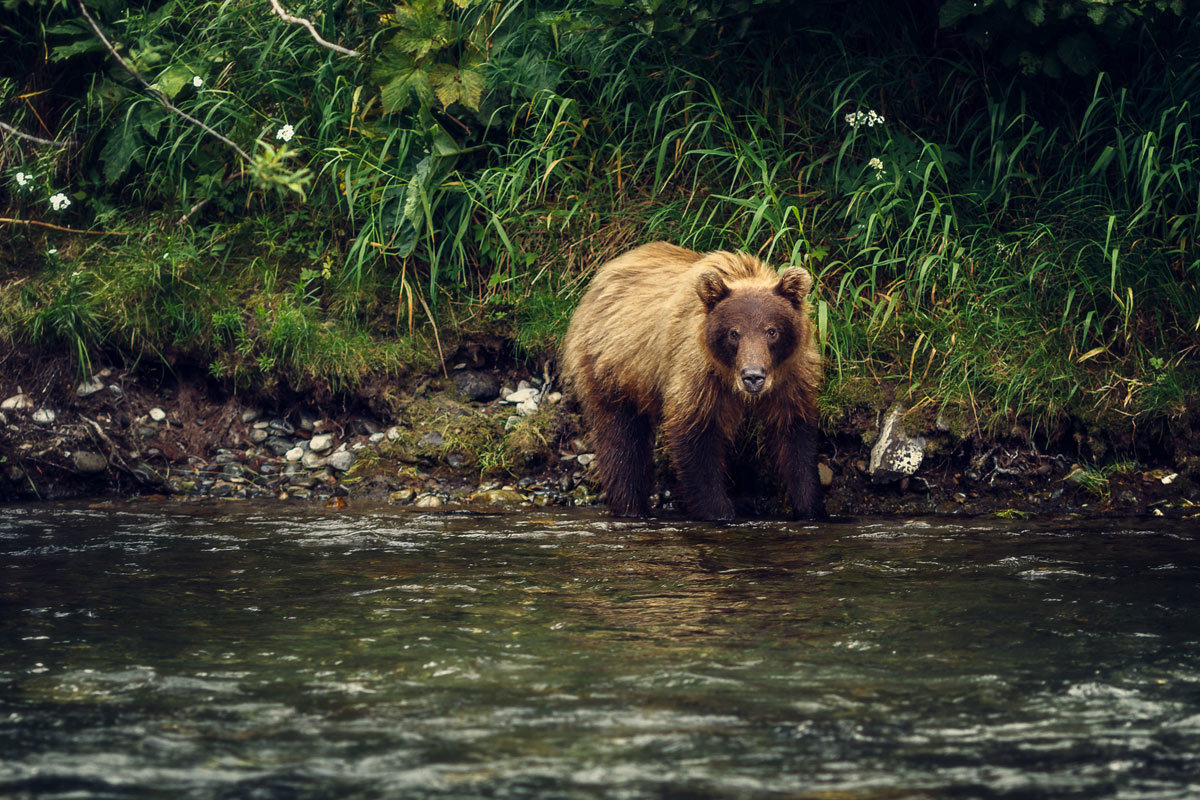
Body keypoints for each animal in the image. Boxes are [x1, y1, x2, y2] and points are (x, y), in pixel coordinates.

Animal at [561, 241, 825, 522]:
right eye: (734, 332)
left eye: (772, 330)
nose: (753, 376)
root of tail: (600, 277)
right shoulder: (697, 375)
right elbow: (695, 439)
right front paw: (719, 510)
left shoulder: (792, 378)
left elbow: (795, 439)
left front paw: (810, 507)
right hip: (613, 369)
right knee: (621, 439)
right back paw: (630, 506)